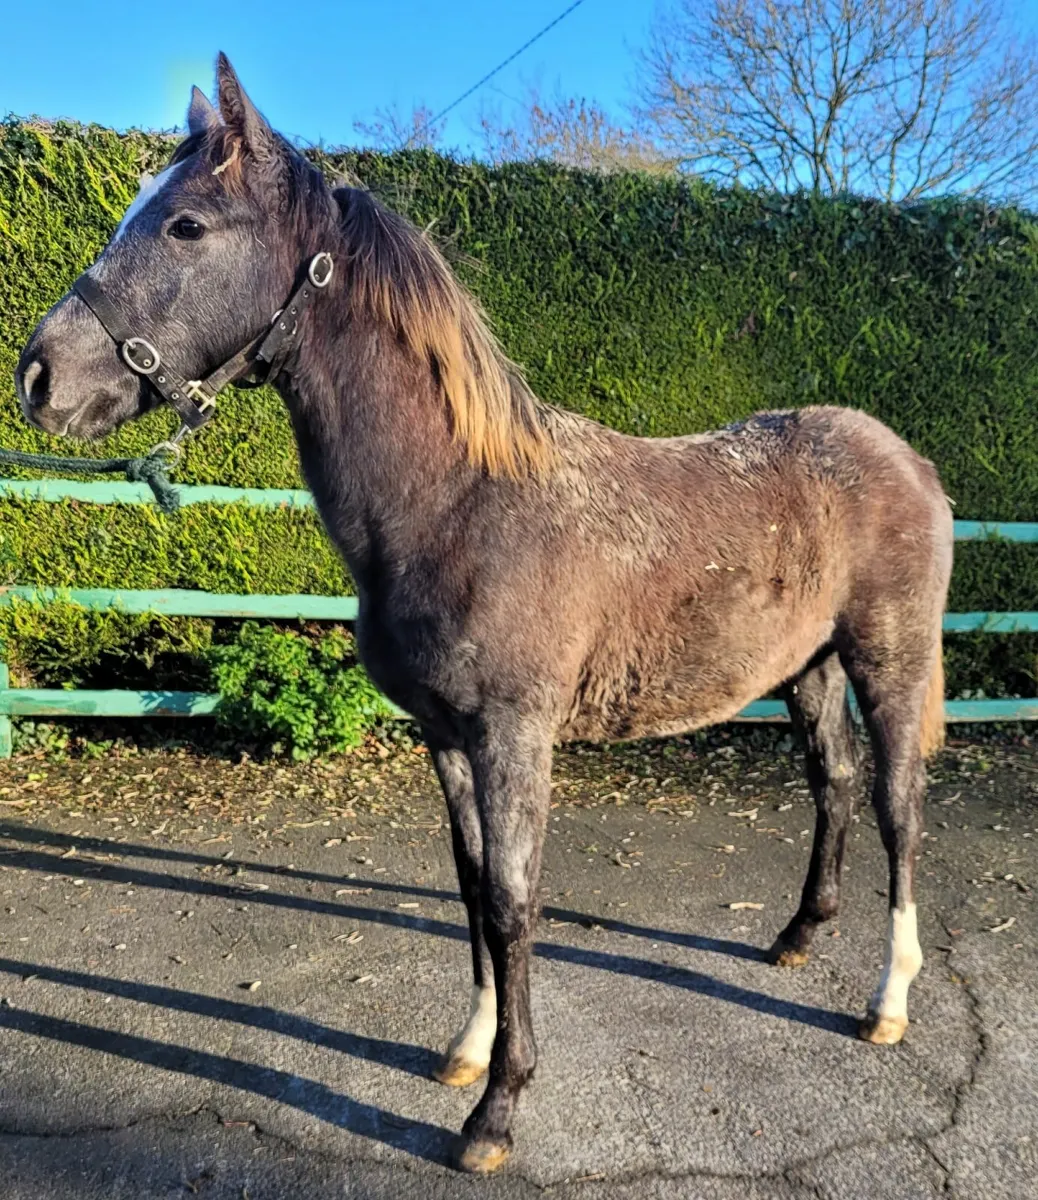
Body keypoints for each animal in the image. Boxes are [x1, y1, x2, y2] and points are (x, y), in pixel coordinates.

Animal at [14, 56, 953, 1175]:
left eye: (187, 224)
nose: (40, 377)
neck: (460, 502)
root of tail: (906, 457)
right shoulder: (446, 737)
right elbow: (468, 889)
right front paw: (466, 1052)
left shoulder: (514, 737)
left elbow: (512, 902)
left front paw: (498, 1112)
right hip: (806, 667)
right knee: (834, 785)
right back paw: (799, 937)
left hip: (890, 660)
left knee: (898, 807)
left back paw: (888, 1002)